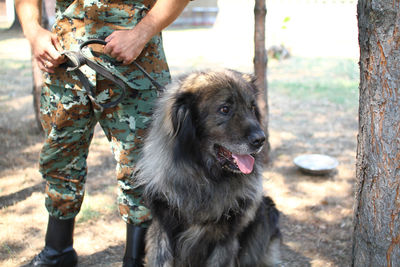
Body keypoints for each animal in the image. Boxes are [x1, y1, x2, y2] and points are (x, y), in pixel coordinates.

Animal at [136, 69, 282, 267]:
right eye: (225, 109)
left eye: (252, 108)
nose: (261, 140)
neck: (204, 176)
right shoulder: (162, 229)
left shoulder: (225, 239)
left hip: (268, 211)